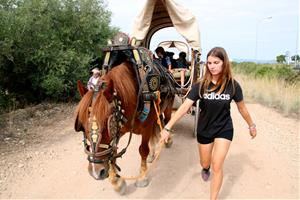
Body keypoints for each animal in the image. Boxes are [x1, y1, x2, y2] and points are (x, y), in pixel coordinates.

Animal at [73, 60, 175, 194]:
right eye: (83, 126)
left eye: (107, 124)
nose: (96, 171)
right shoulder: (119, 129)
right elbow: (112, 153)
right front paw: (116, 182)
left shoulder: (146, 128)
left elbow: (143, 150)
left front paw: (142, 177)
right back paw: (152, 154)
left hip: (168, 105)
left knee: (167, 121)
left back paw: (168, 140)